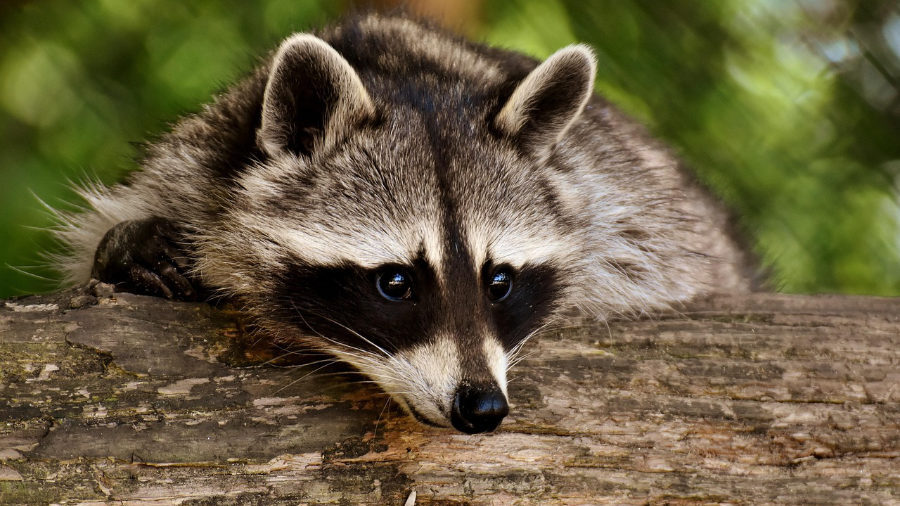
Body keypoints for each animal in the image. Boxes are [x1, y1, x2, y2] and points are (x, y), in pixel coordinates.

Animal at [55, 13, 751, 433]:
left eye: (499, 281)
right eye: (395, 283)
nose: (483, 407)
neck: (405, 71)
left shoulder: (625, 208)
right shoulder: (191, 163)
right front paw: (129, 247)